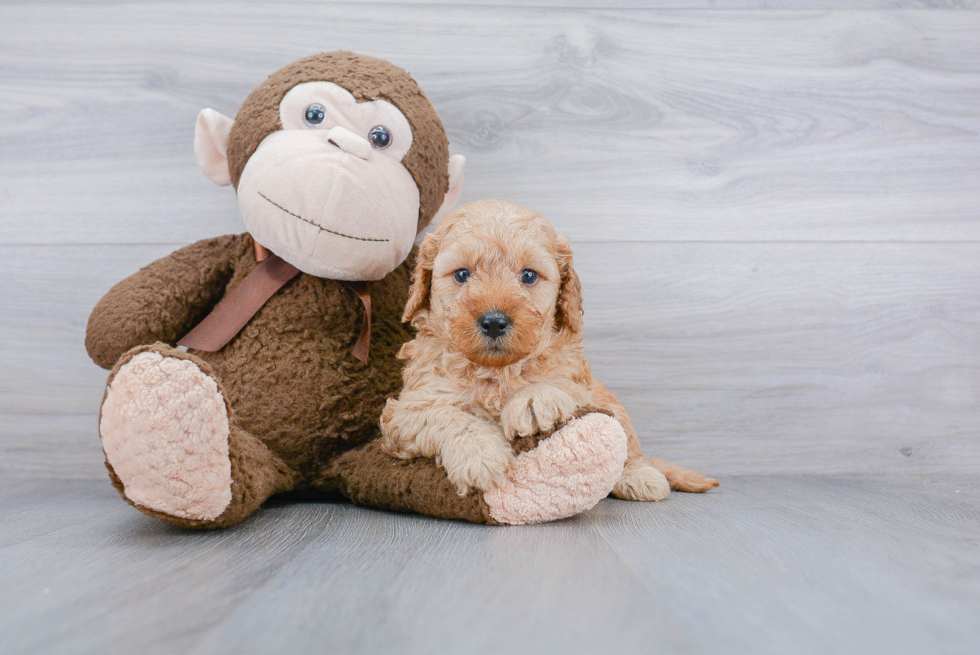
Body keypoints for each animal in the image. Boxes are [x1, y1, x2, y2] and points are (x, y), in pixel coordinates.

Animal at [378, 200, 716, 502]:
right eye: (462, 274)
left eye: (528, 276)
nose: (494, 322)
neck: (496, 371)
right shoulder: (407, 410)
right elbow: (445, 415)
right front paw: (480, 455)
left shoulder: (579, 381)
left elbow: (560, 383)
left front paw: (533, 398)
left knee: (629, 446)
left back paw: (638, 476)